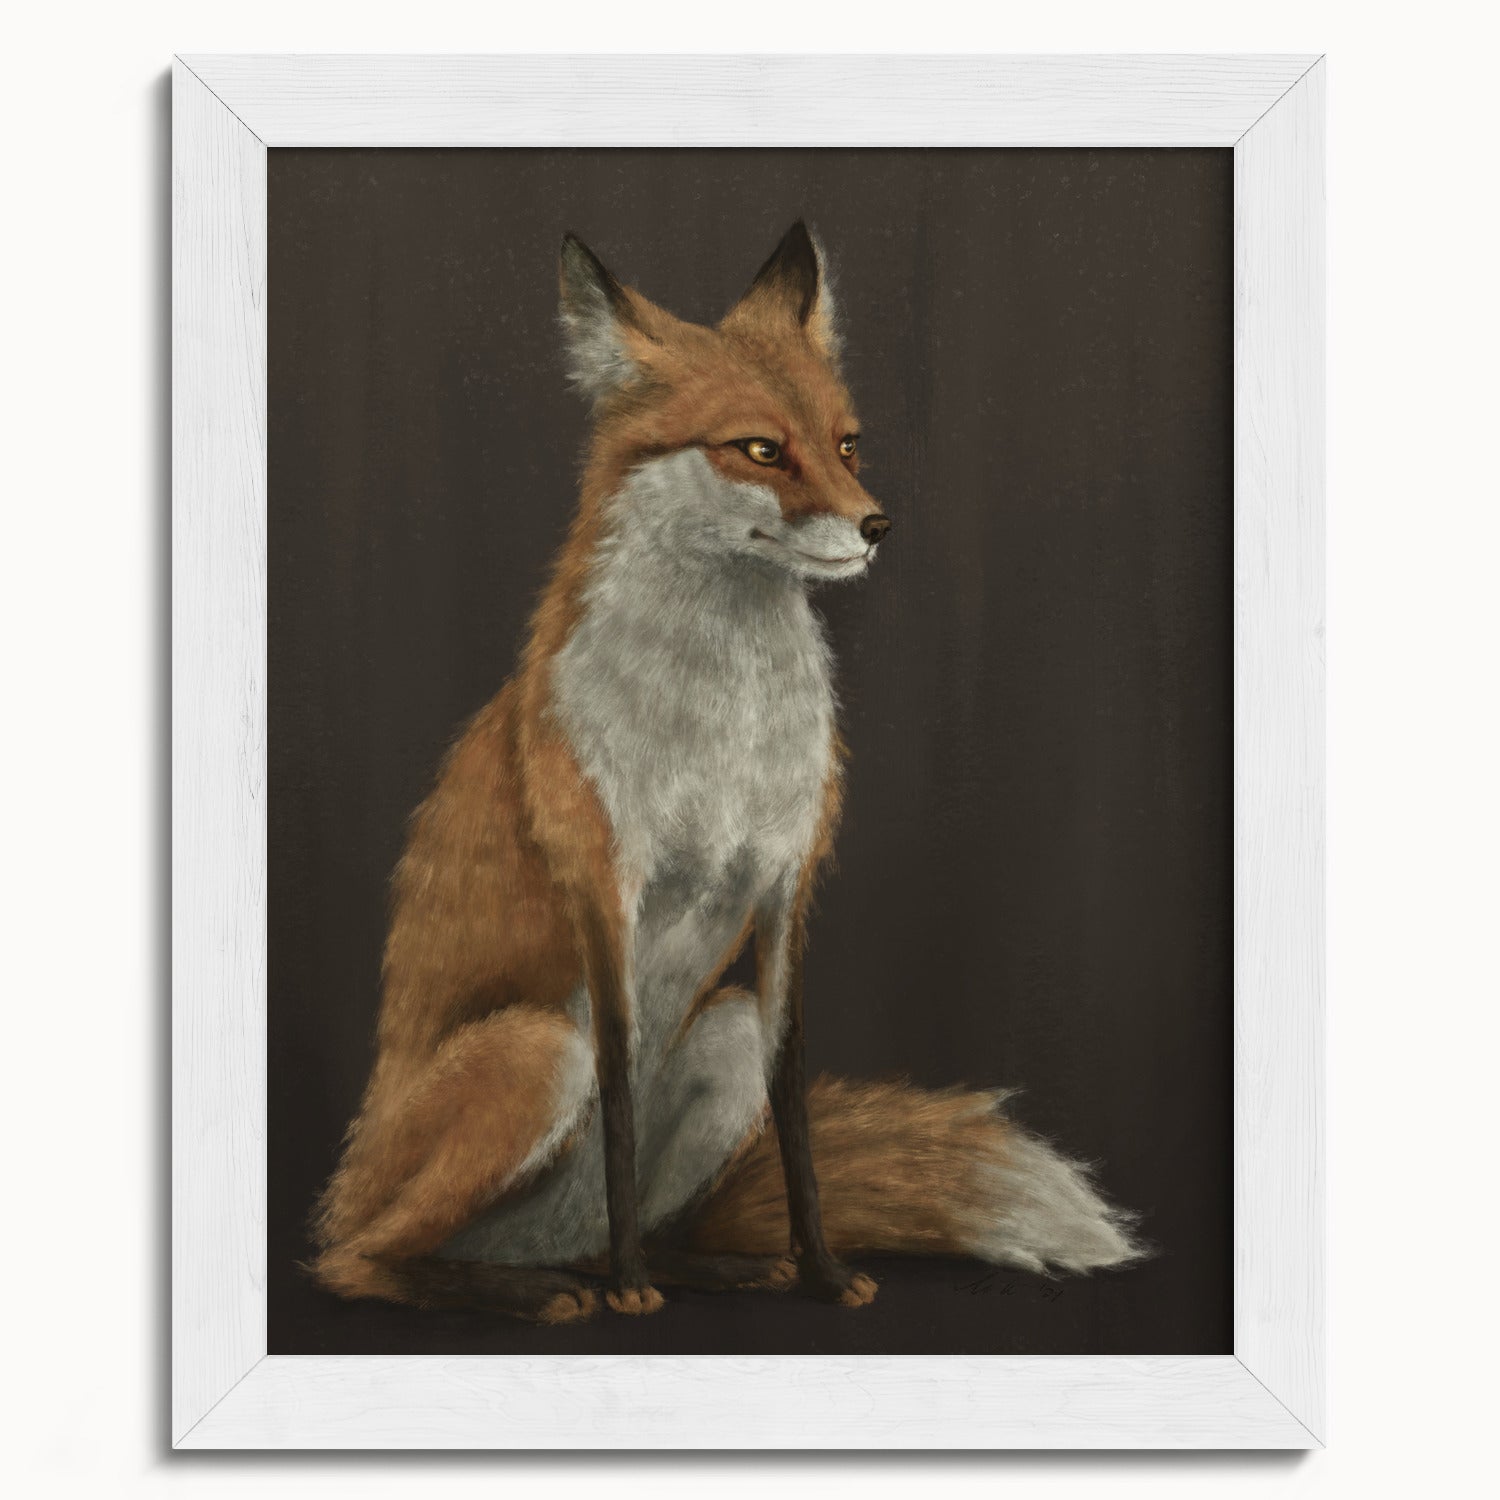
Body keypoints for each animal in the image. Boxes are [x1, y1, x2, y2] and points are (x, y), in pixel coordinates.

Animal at [310, 221, 1144, 1323]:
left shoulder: (786, 888)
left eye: (847, 444)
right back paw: (544, 1289)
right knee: (359, 1261)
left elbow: (795, 1115)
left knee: (609, 1225)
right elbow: (621, 1098)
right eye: (759, 449)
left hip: (723, 1033)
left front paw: (821, 1271)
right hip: (535, 1051)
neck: (724, 730)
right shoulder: (606, 890)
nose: (878, 525)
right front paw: (633, 1292)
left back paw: (701, 1267)